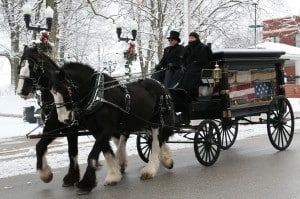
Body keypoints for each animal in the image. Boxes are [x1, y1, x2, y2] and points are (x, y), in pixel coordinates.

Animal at [49, 61, 176, 194]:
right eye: (52, 93)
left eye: (65, 90)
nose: (64, 120)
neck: (97, 95)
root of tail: (162, 86)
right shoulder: (97, 130)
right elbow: (106, 151)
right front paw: (114, 175)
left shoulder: (107, 129)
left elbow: (92, 155)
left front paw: (86, 183)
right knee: (155, 139)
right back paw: (165, 160)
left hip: (156, 121)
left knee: (156, 142)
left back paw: (150, 169)